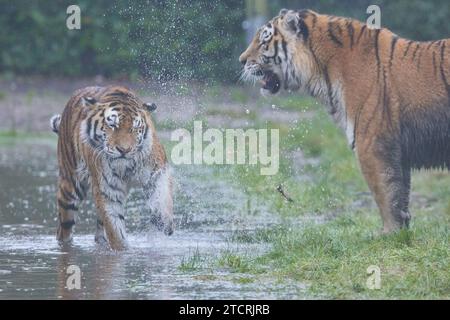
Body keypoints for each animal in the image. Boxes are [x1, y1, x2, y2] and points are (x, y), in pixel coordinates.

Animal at [49, 85, 174, 250]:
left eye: (135, 128)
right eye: (113, 125)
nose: (124, 150)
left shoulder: (157, 171)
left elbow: (162, 196)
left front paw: (164, 222)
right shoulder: (108, 189)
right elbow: (115, 227)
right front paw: (122, 249)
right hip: (69, 187)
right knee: (64, 228)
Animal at [239, 9, 450, 232]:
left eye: (263, 42)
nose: (241, 60)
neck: (321, 70)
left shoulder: (371, 144)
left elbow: (386, 196)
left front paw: (389, 234)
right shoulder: (398, 152)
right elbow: (400, 195)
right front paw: (402, 232)